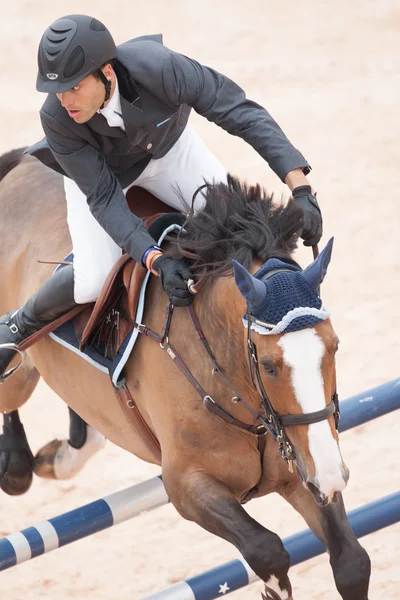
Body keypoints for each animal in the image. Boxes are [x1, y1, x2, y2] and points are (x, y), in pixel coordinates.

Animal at [0, 149, 372, 596]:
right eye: (268, 365)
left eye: (334, 345)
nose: (333, 475)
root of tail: (22, 163)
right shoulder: (185, 486)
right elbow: (267, 551)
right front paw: (271, 585)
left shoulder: (302, 465)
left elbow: (352, 562)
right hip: (22, 374)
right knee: (12, 397)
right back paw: (17, 460)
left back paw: (60, 457)